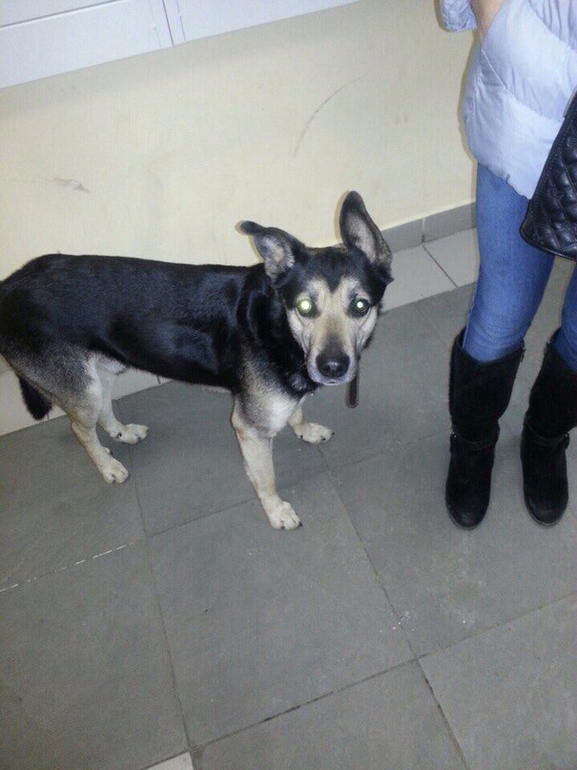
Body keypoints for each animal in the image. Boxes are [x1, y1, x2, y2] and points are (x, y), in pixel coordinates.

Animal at [0, 192, 392, 529]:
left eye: (361, 305)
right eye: (305, 306)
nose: (332, 367)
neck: (279, 328)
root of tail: (9, 285)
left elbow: (295, 411)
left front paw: (305, 430)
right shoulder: (248, 428)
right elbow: (265, 477)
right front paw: (276, 511)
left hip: (104, 370)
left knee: (104, 410)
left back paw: (122, 432)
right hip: (80, 390)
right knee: (80, 429)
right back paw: (108, 466)